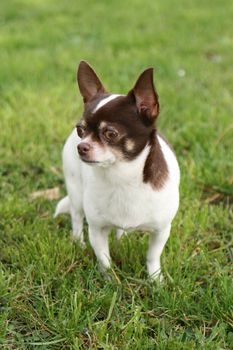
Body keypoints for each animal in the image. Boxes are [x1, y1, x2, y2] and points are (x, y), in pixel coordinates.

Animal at [55, 60, 180, 278]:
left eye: (110, 133)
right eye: (80, 130)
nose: (81, 146)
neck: (122, 178)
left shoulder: (161, 230)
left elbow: (153, 256)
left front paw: (156, 280)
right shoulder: (96, 229)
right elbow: (104, 259)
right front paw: (109, 280)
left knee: (119, 230)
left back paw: (122, 239)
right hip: (75, 191)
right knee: (76, 217)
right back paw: (78, 243)